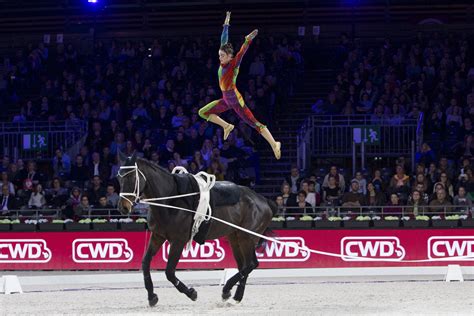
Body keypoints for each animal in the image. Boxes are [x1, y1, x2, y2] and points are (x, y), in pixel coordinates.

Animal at [116, 153, 276, 306]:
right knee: (245, 265)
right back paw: (235, 296)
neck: (171, 200)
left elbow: (169, 272)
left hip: (246, 238)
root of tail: (263, 199)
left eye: (131, 177)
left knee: (251, 264)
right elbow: (145, 263)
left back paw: (227, 289)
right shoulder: (157, 236)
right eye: (119, 177)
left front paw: (191, 293)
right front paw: (152, 296)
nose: (123, 207)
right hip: (235, 238)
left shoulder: (178, 241)